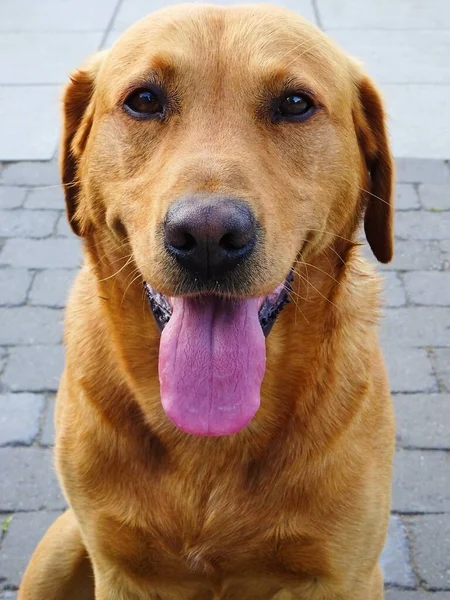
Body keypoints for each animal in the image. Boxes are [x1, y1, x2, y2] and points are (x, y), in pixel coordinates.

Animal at [20, 5, 394, 600]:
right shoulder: (117, 570)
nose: (208, 237)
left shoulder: (345, 573)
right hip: (58, 548)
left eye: (295, 103)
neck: (210, 440)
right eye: (144, 100)